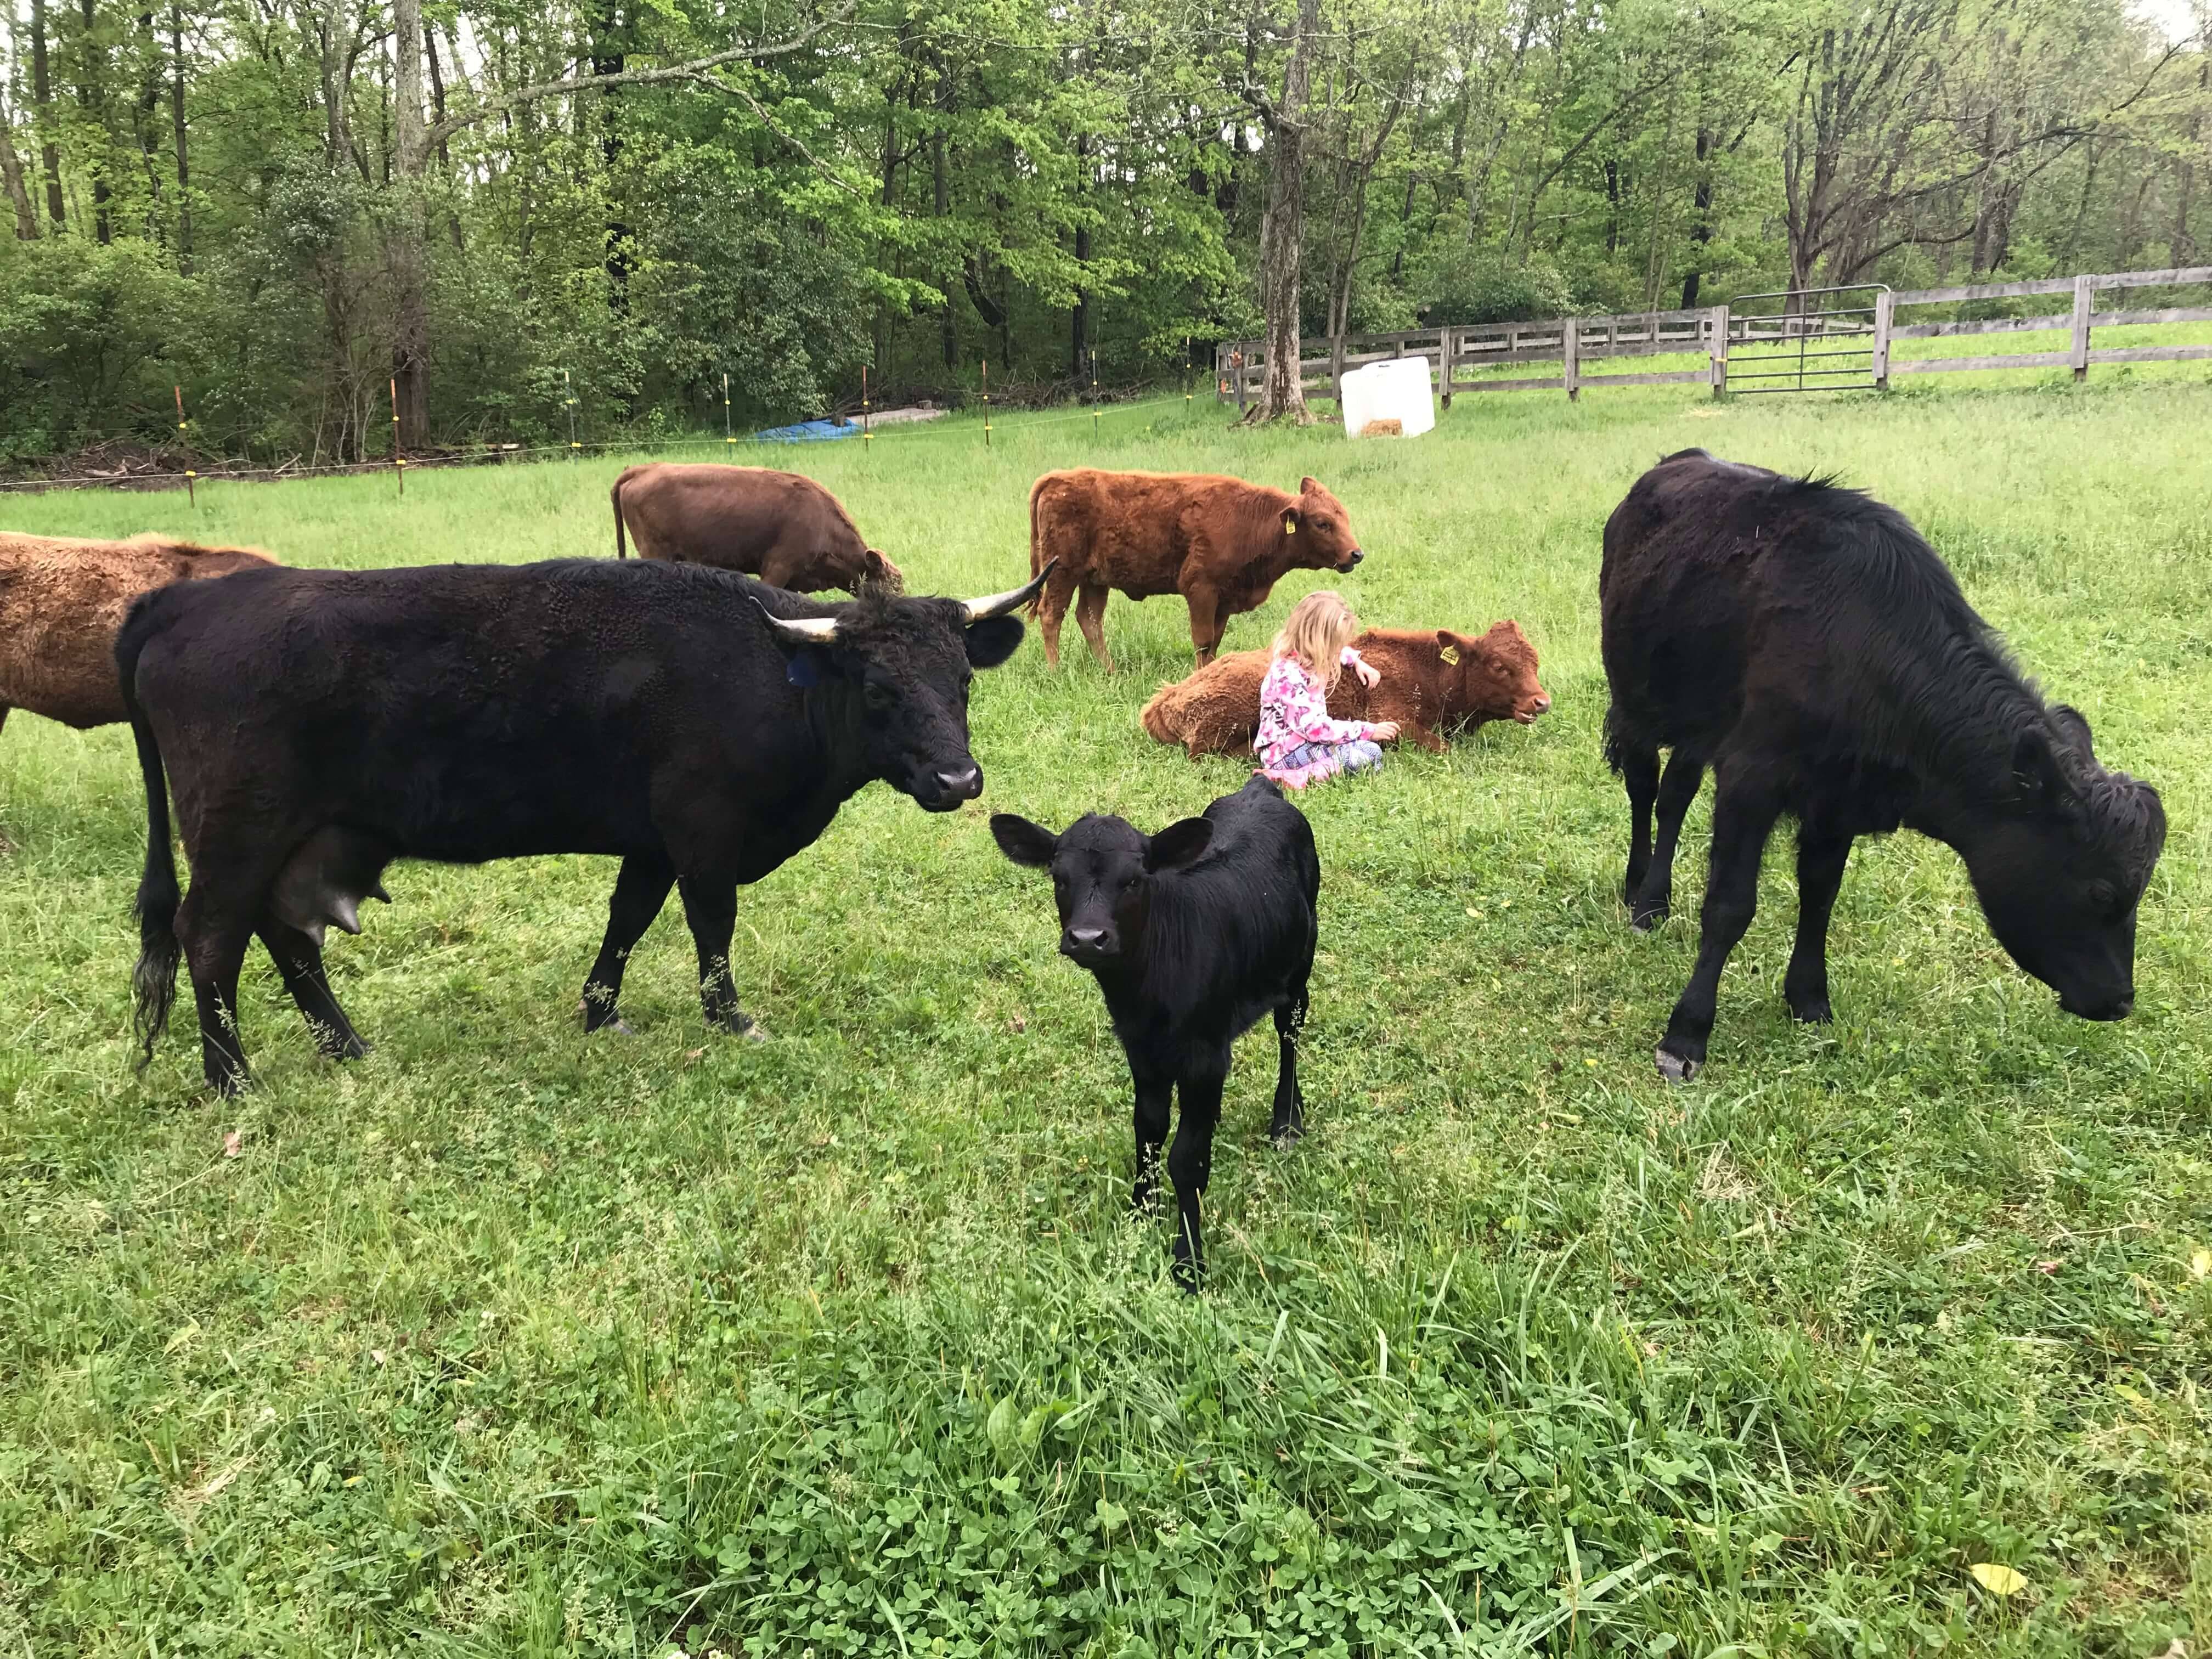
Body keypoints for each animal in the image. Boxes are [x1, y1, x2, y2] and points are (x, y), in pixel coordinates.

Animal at [117, 556, 1050, 1095]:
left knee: (286, 937)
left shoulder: (651, 839)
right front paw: (731, 1019)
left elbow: (628, 918)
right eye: (881, 689)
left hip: (297, 840)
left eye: (964, 680)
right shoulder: (702, 830)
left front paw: (602, 1014)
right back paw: (232, 1078)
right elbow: (712, 923)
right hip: (240, 832)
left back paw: (347, 1047)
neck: (772, 671)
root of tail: (184, 601)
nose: (959, 780)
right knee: (212, 936)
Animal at [991, 776, 1319, 1290]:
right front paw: (1140, 1212)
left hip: (1300, 962)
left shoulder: (1204, 1055)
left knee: (1291, 1034)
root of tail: (1260, 789)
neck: (1147, 991)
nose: (1088, 938)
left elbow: (1187, 1159)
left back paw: (1287, 1121)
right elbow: (1148, 1130)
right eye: (1059, 878)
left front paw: (1189, 1262)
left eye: (1133, 880)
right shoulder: (1141, 1050)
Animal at [1026, 469, 1364, 671]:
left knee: (1090, 619)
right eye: (1322, 523)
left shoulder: (1224, 600)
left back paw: (1108, 670)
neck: (1250, 520)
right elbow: (1202, 639)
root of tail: (1058, 478)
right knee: (1052, 615)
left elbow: (1215, 641)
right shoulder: (1201, 589)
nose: (1357, 554)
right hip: (1062, 573)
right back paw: (1055, 670)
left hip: (1095, 580)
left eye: (1345, 517)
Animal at [1139, 622, 1551, 759]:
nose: (1541, 702)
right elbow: (1441, 747)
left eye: (1535, 662)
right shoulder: (1396, 720)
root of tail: (1166, 699)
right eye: (1499, 666)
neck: (1428, 673)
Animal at [1602, 450, 2165, 1083]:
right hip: (1635, 696)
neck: (1860, 648)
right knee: (1645, 787)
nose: (2120, 1001)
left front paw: (1809, 999)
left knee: (1675, 792)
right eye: (2101, 892)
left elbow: (1821, 896)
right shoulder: (1752, 777)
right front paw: (1687, 1034)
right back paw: (1642, 894)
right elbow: (1729, 907)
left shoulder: (1836, 799)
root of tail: (1677, 462)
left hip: (1702, 724)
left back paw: (1657, 895)